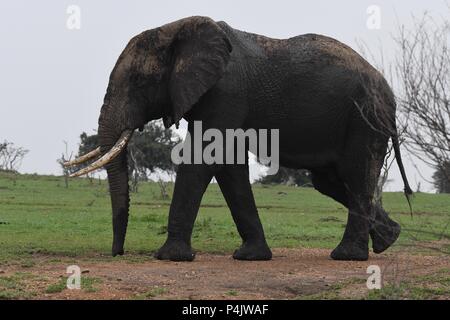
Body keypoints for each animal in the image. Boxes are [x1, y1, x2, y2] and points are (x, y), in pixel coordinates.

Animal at [65, 15, 414, 262]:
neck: (175, 29)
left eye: (140, 81)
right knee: (329, 181)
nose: (117, 252)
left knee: (355, 175)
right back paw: (389, 239)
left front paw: (169, 257)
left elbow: (203, 159)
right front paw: (251, 256)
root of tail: (389, 91)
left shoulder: (226, 92)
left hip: (365, 118)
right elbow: (228, 166)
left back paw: (347, 256)